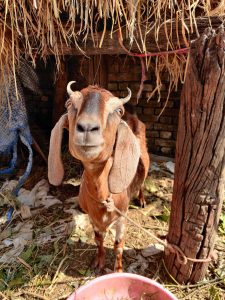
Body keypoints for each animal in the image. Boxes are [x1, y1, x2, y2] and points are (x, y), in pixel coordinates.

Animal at [48, 82, 149, 272]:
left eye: (118, 111)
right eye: (69, 104)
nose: (87, 128)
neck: (102, 197)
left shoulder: (121, 219)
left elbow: (118, 247)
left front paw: (118, 270)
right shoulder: (93, 219)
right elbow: (98, 240)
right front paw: (99, 263)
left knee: (142, 182)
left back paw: (141, 200)